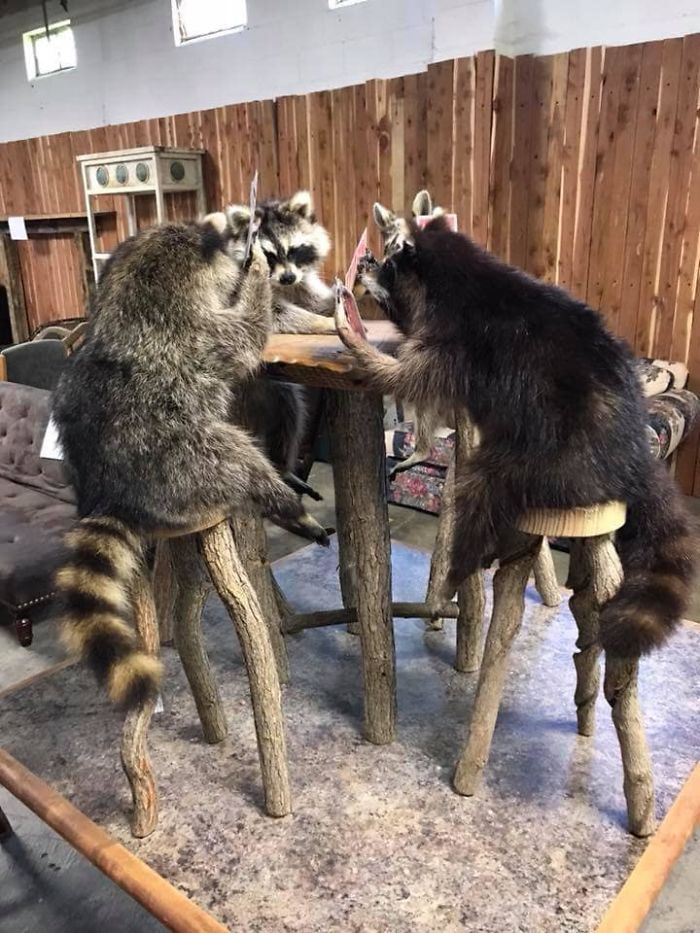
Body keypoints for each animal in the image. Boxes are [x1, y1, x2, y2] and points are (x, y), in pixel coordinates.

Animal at [52, 215, 329, 709]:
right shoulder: (201, 335)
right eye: (213, 242)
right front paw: (258, 278)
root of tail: (110, 491)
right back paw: (286, 503)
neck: (129, 301)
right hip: (184, 461)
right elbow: (250, 330)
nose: (239, 228)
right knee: (237, 455)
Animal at [335, 205, 697, 659]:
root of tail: (633, 456)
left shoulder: (458, 342)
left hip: (556, 462)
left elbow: (411, 377)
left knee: (480, 493)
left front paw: (360, 347)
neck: (460, 275)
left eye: (390, 265)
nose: (366, 263)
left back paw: (457, 572)